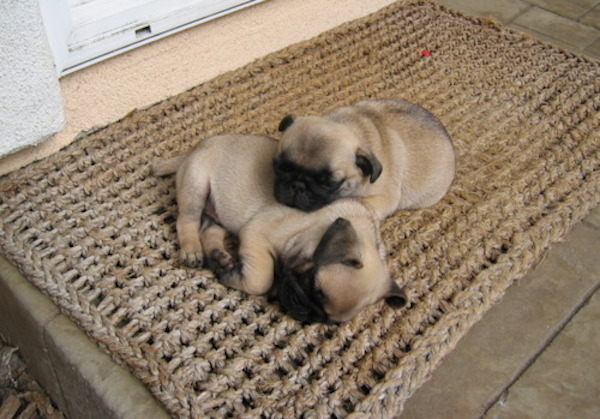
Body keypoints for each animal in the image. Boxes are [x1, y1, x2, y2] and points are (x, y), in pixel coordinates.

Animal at [152, 135, 406, 324]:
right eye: (312, 284)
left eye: (329, 322)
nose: (306, 313)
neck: (315, 229)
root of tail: (191, 153)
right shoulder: (254, 235)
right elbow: (260, 279)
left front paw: (229, 270)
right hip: (195, 187)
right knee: (187, 221)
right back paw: (192, 250)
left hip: (216, 214)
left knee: (209, 231)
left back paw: (220, 258)